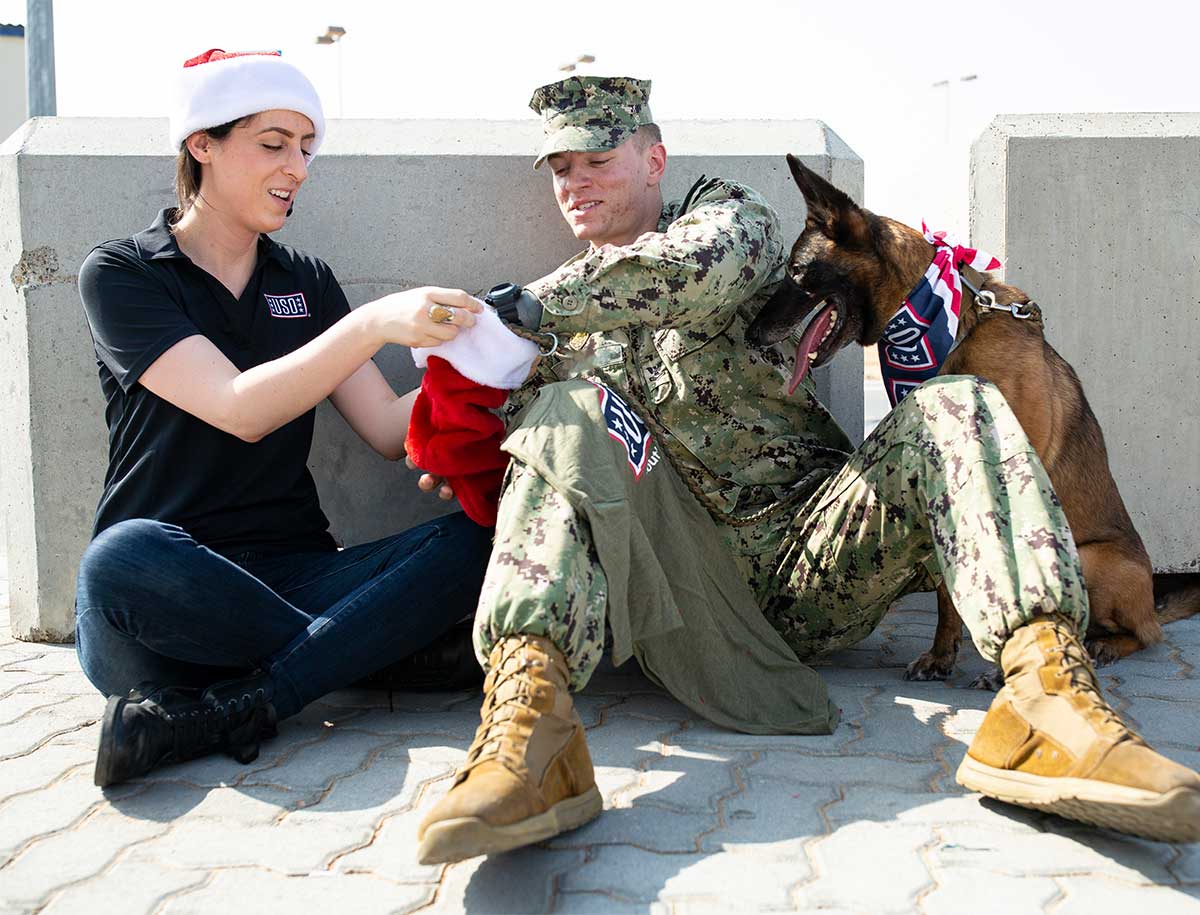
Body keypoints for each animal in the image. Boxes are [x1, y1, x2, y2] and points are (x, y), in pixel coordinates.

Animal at [748, 151, 1200, 677]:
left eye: (797, 272)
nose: (752, 333)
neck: (948, 329)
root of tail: (1150, 597)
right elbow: (948, 589)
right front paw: (943, 653)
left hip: (1092, 564)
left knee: (1146, 633)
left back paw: (1102, 644)